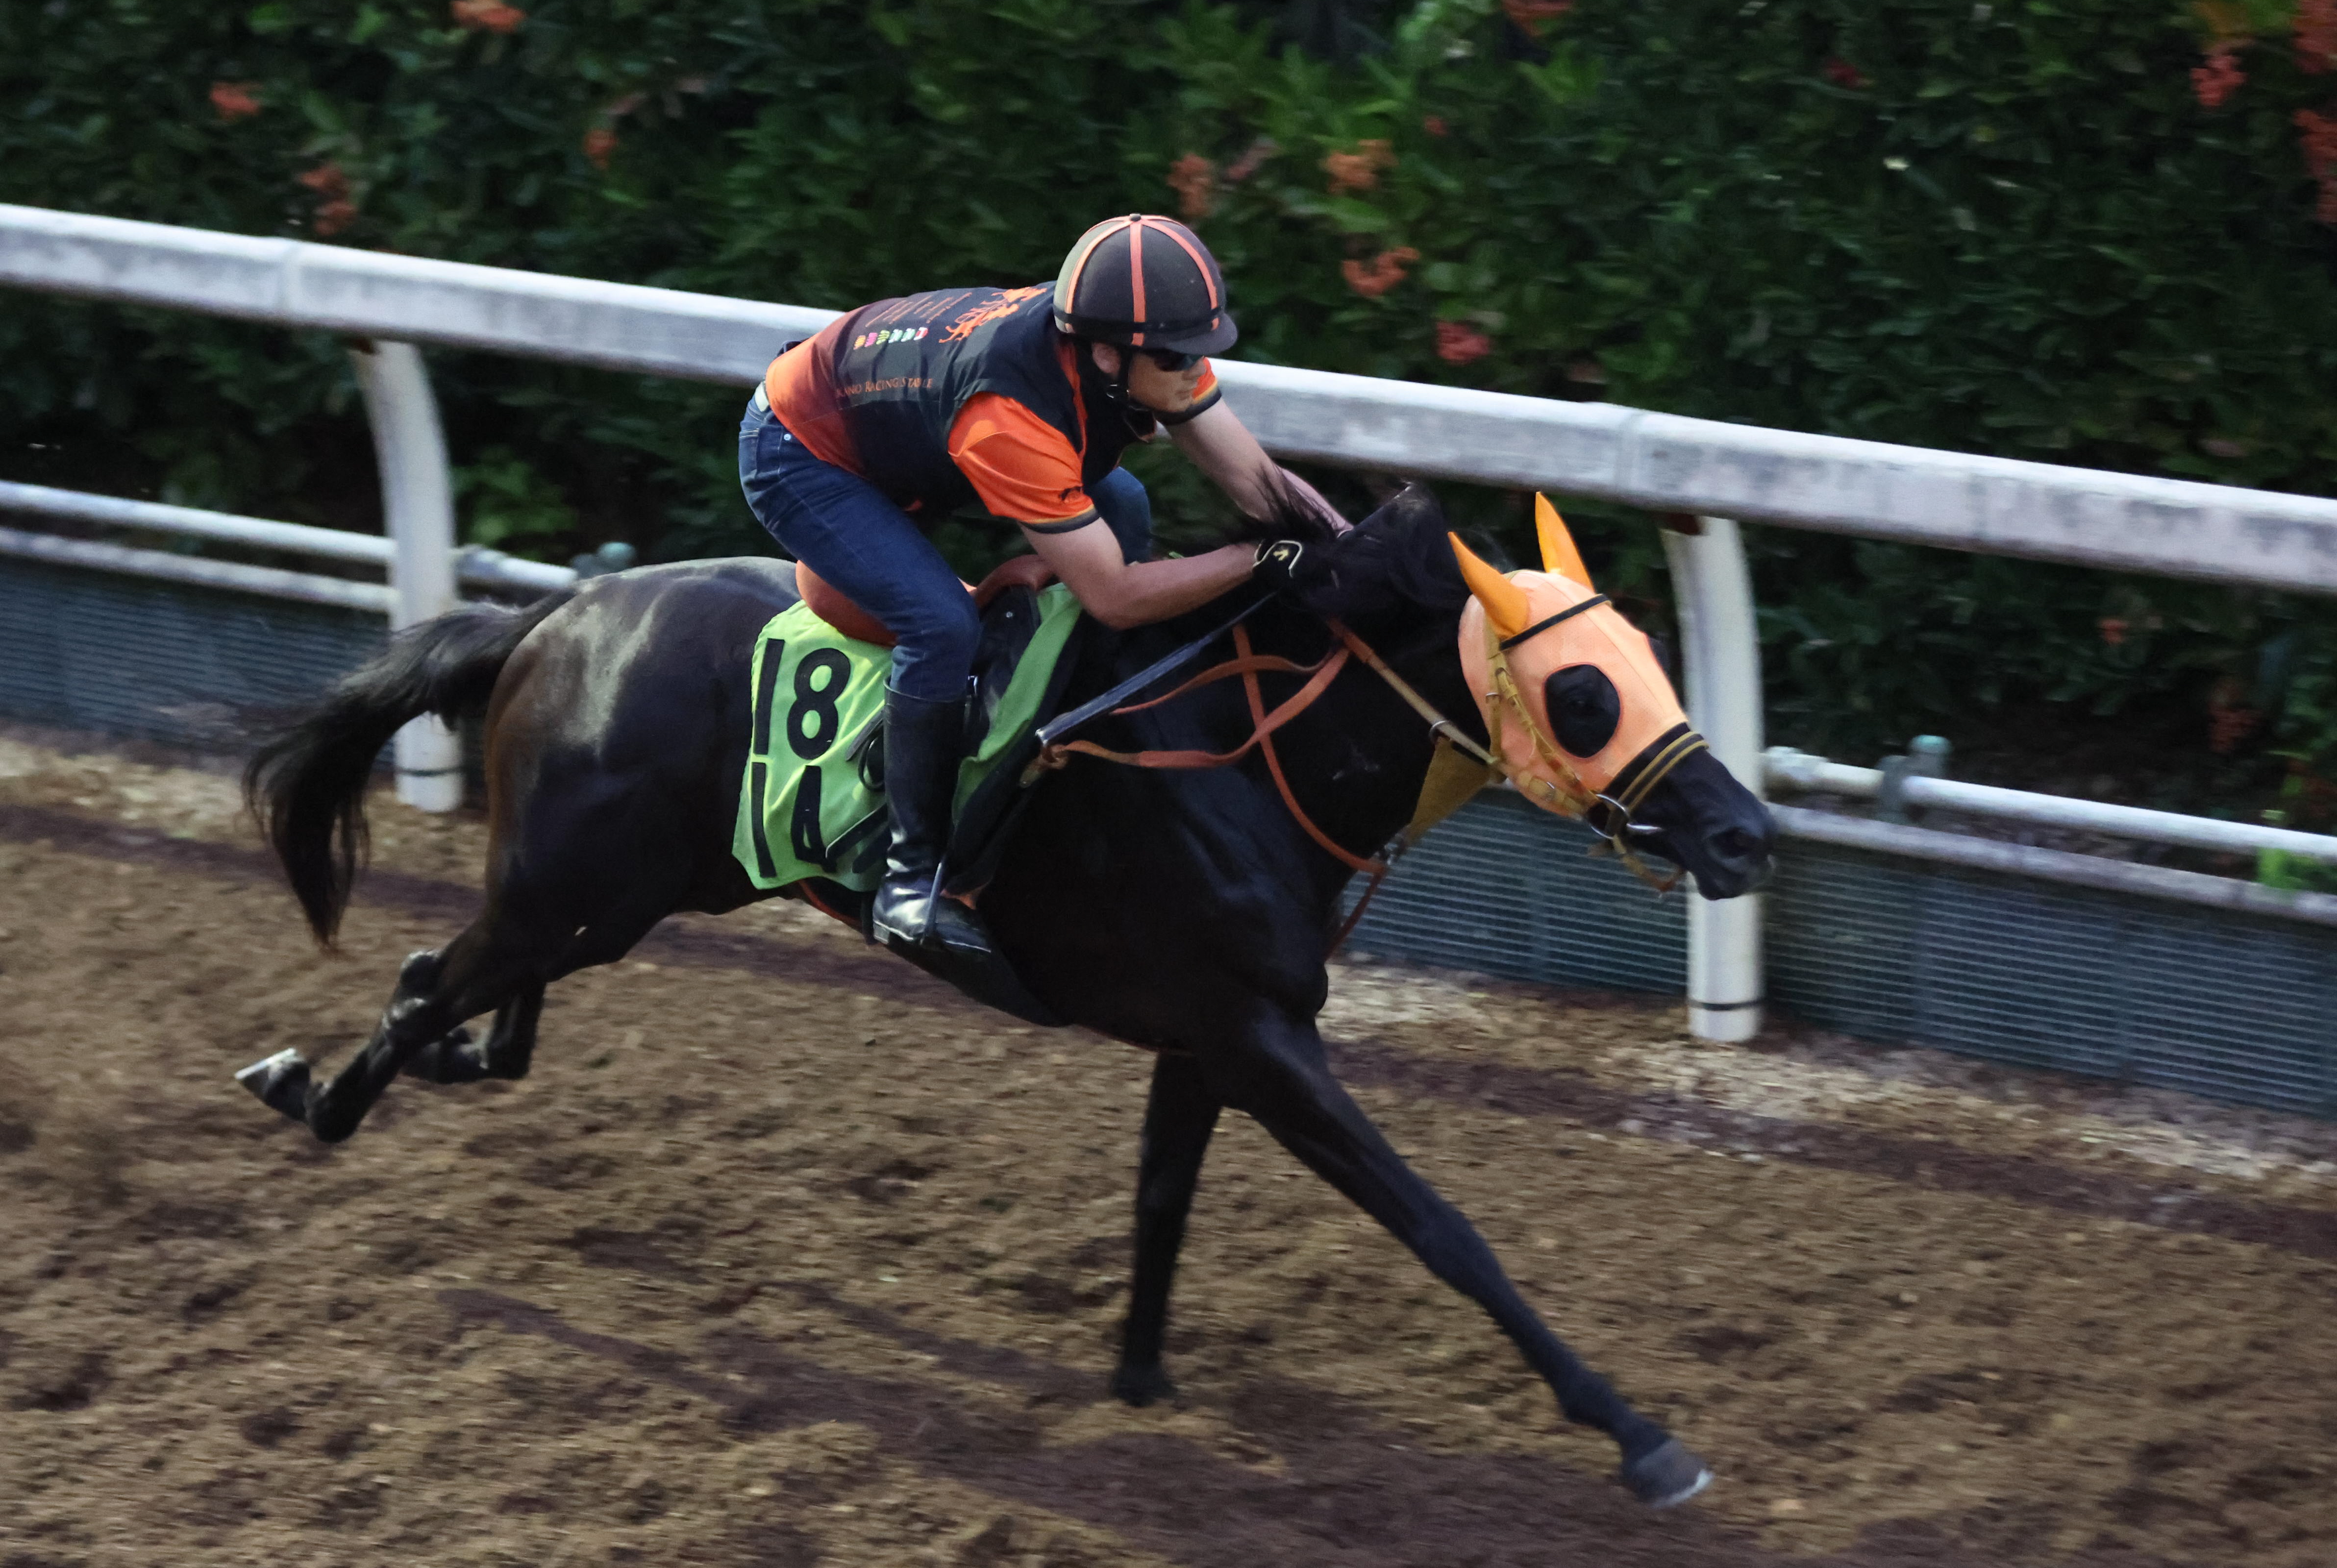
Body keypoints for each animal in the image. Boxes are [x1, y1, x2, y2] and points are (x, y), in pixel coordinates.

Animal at [237, 485, 1774, 1507]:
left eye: (1650, 662)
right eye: (1581, 693)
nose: (1745, 831)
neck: (1242, 749)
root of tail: (559, 612)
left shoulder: (1214, 1035)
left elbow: (1162, 1201)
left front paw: (1142, 1383)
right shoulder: (1259, 1037)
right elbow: (1442, 1227)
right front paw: (1640, 1436)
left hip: (615, 898)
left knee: (477, 1014)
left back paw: (402, 1070)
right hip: (576, 891)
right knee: (425, 987)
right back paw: (307, 1093)